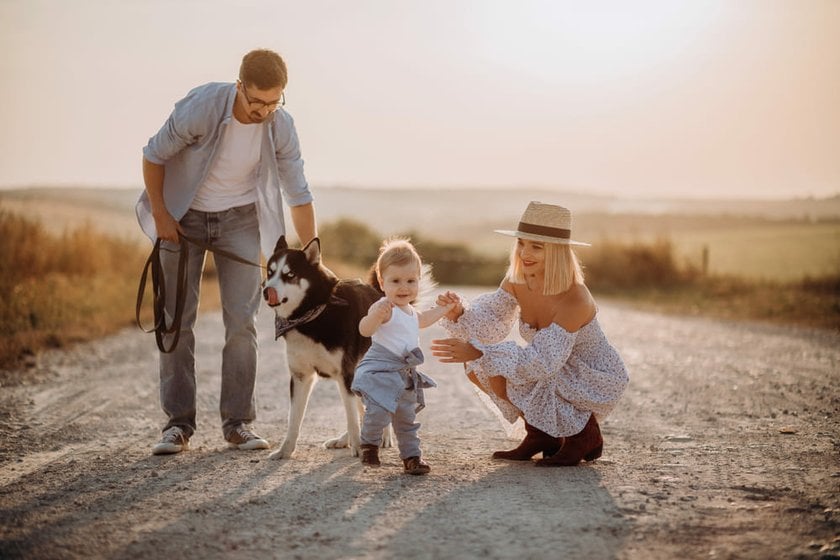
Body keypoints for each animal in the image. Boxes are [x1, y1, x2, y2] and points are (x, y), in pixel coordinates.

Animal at [262, 236, 388, 460]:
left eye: (290, 274)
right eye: (270, 272)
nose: (266, 291)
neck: (311, 315)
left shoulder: (345, 374)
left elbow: (351, 417)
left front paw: (358, 448)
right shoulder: (301, 376)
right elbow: (293, 420)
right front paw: (285, 451)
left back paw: (383, 437)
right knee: (362, 407)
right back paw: (346, 439)